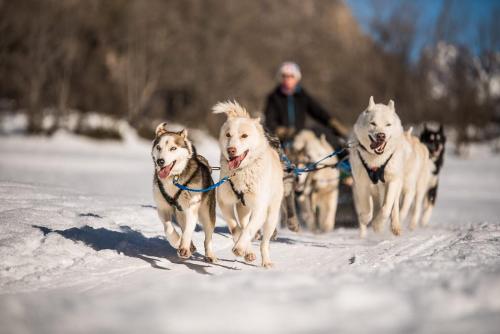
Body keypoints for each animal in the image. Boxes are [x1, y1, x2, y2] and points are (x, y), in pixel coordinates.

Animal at [150, 124, 217, 262]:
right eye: (158, 147)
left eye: (173, 148)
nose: (160, 161)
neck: (173, 179)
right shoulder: (162, 208)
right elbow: (168, 228)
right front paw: (176, 241)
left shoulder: (191, 208)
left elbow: (188, 230)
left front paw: (184, 247)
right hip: (180, 214)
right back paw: (190, 246)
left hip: (207, 214)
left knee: (207, 237)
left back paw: (209, 254)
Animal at [213, 100, 284, 268]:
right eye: (228, 135)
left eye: (244, 135)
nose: (231, 150)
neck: (241, 173)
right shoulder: (225, 203)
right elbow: (235, 228)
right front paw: (242, 247)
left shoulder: (259, 208)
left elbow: (249, 230)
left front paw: (239, 247)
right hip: (243, 209)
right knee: (244, 225)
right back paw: (249, 251)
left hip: (271, 217)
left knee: (264, 242)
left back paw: (266, 261)